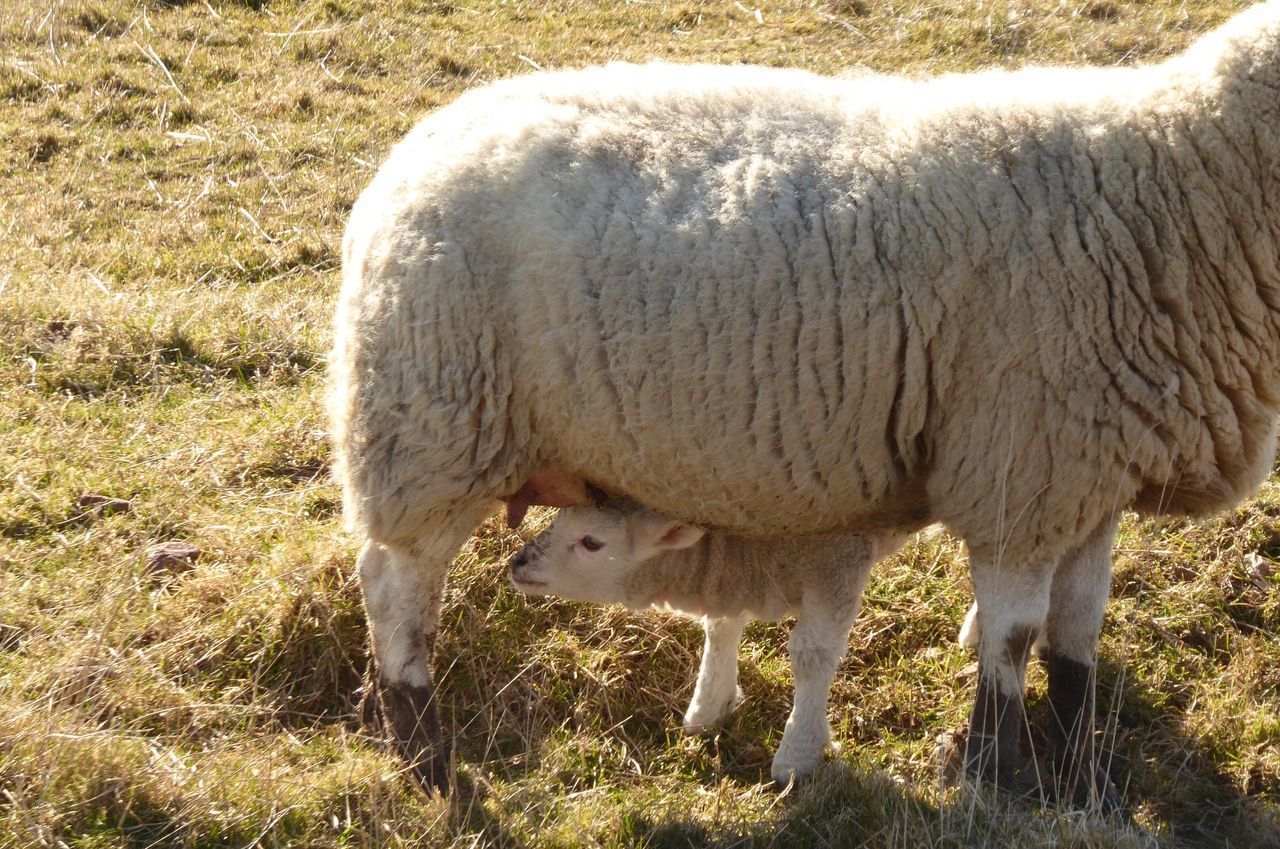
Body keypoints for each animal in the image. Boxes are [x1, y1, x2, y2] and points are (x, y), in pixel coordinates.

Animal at [504, 499, 906, 783]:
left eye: (591, 541)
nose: (517, 564)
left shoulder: (839, 556)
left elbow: (812, 654)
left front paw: (800, 751)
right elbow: (721, 627)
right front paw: (709, 707)